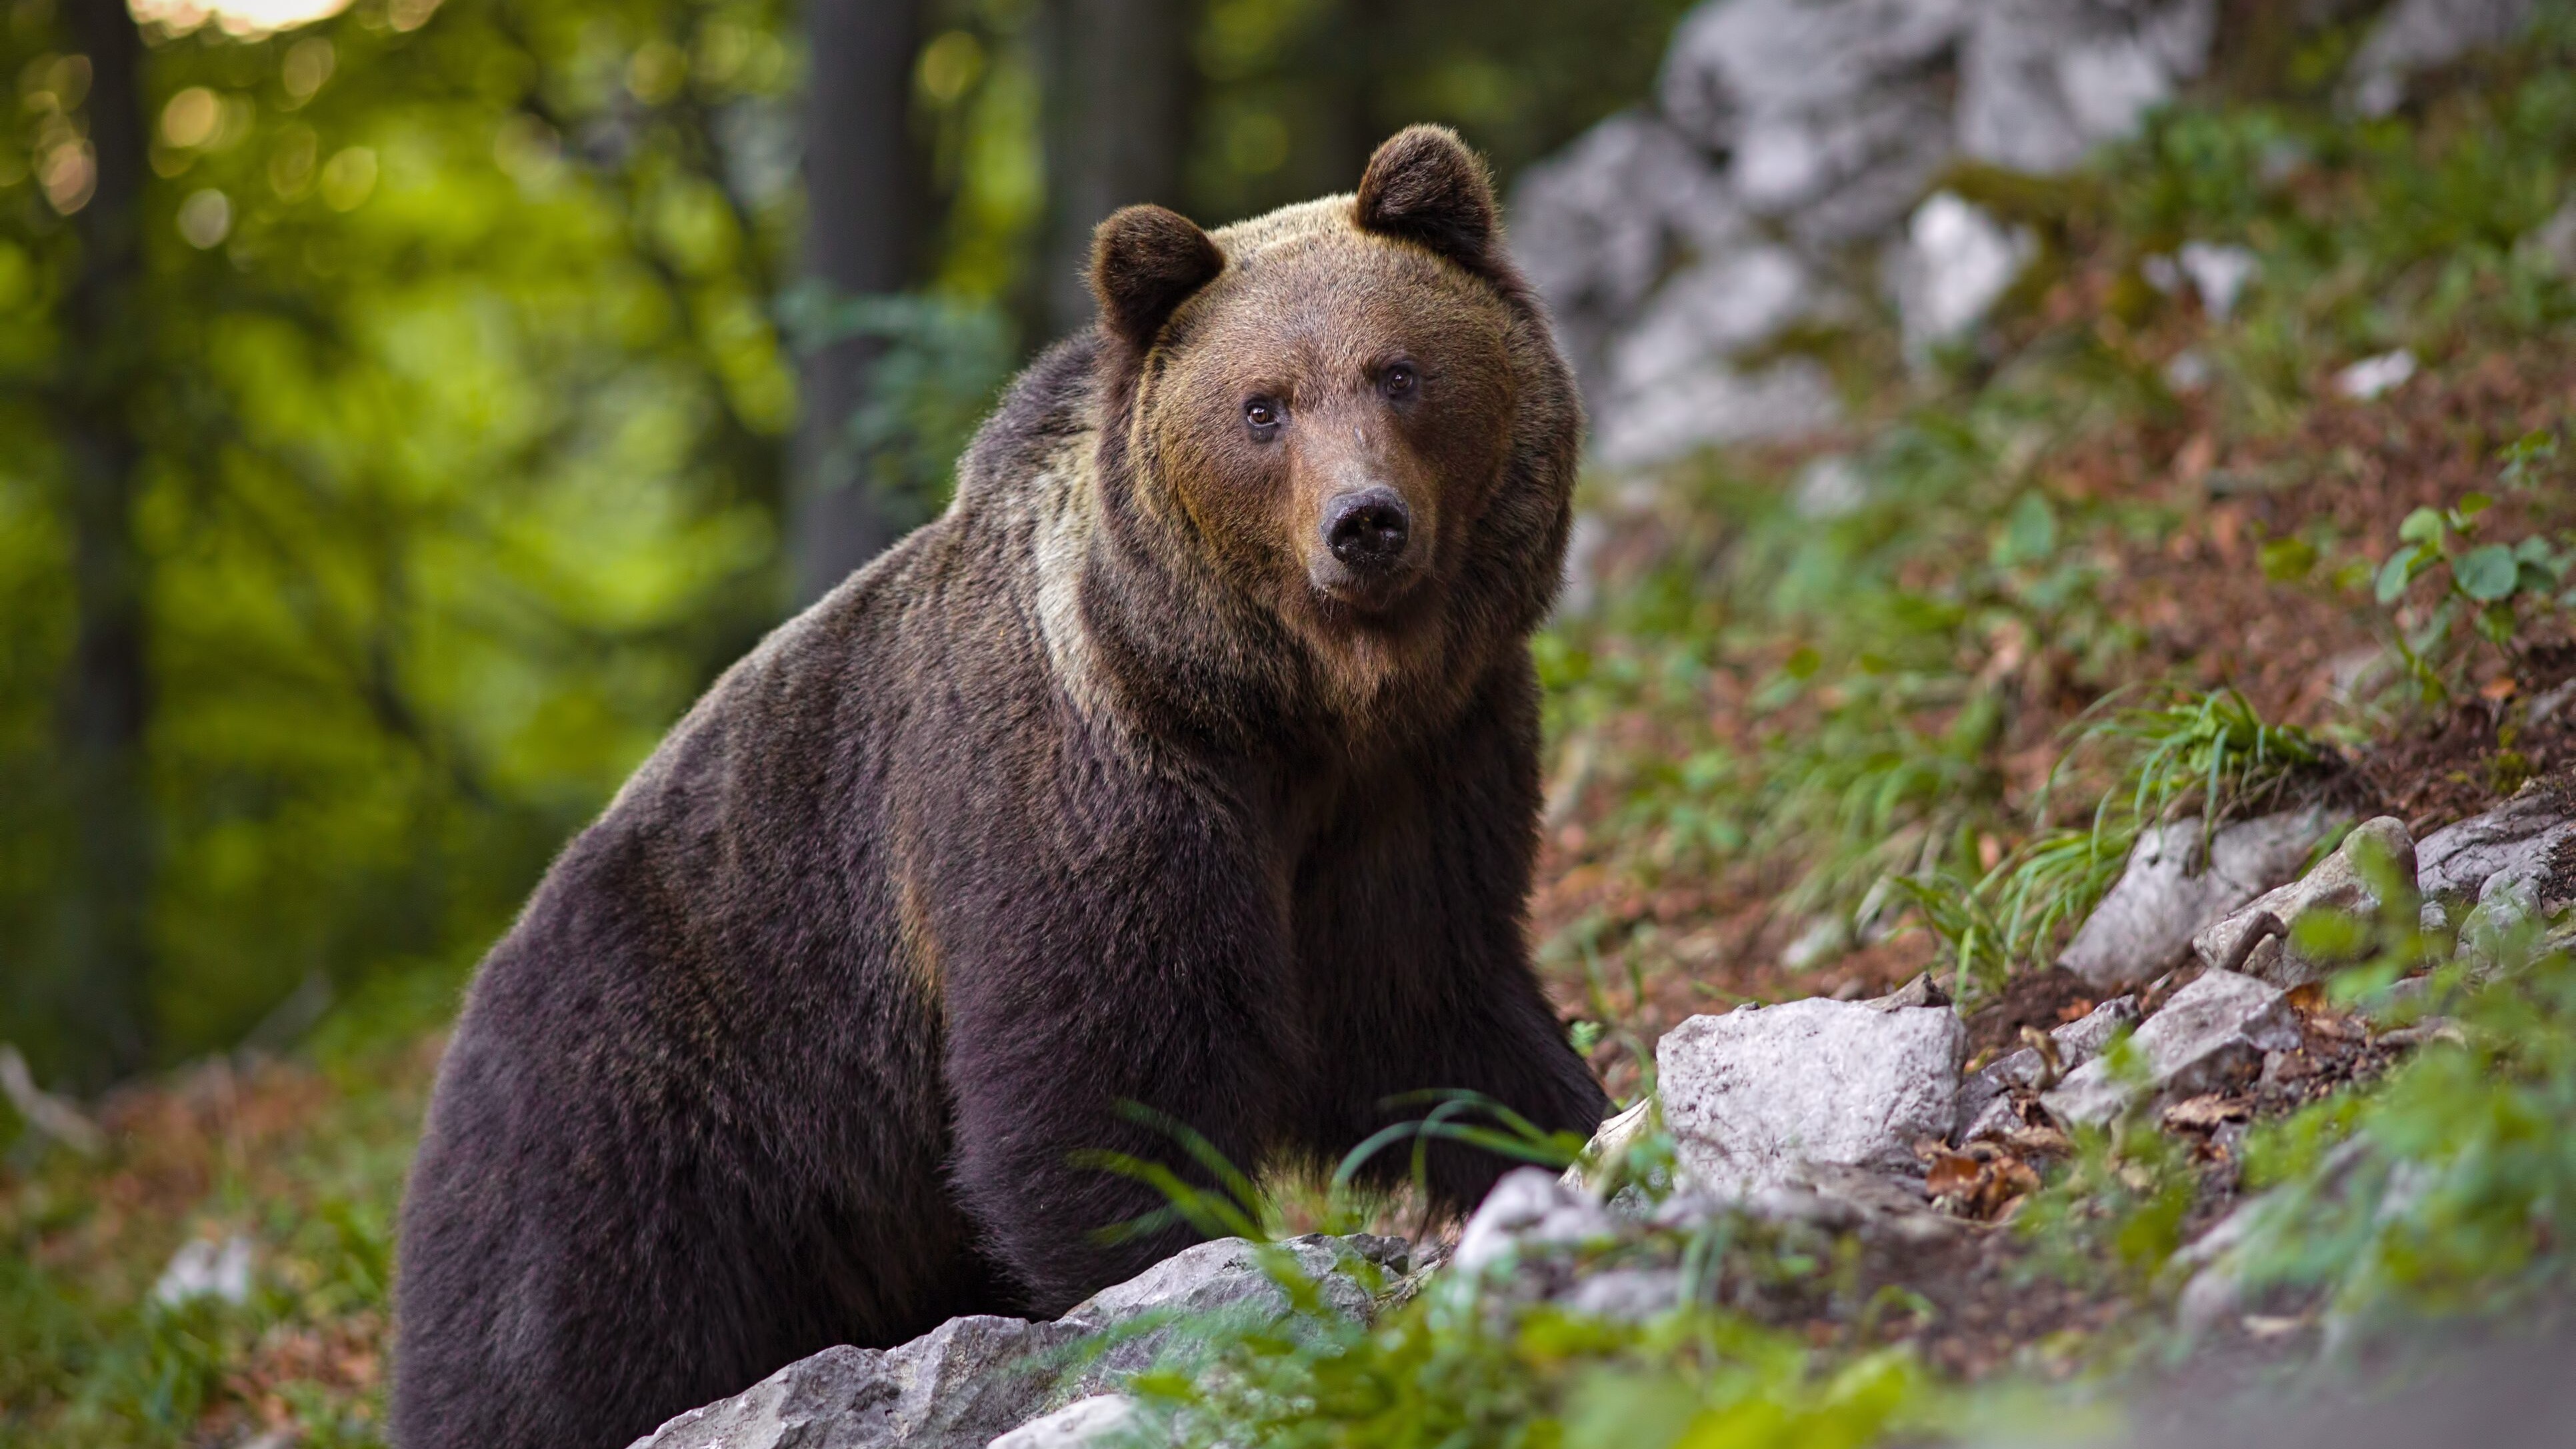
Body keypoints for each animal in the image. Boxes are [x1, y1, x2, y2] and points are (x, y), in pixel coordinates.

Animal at [389, 124, 1608, 1449]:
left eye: (1398, 372)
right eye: (1262, 406)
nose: (1363, 523)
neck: (1279, 706)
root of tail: (462, 1015)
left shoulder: (1419, 774)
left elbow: (1424, 1002)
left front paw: (1564, 1130)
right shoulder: (1088, 786)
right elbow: (1103, 1080)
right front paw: (1184, 1283)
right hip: (636, 1129)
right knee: (560, 1357)